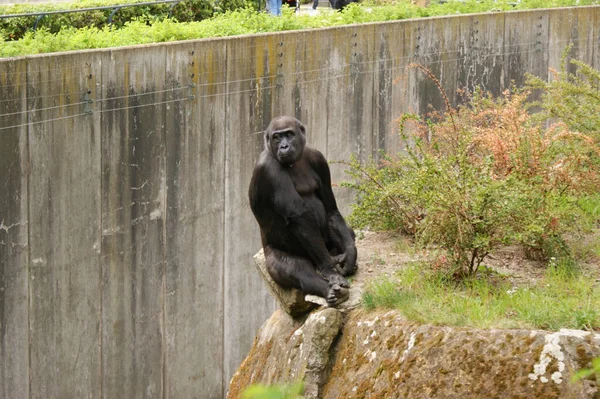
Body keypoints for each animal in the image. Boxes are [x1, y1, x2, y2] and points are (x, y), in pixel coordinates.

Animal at [248, 115, 356, 306]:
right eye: (277, 137)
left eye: (289, 134)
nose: (284, 146)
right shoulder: (269, 169)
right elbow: (298, 217)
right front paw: (330, 270)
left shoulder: (318, 158)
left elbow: (330, 210)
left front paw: (351, 253)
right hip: (274, 257)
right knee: (295, 269)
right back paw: (327, 287)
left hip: (328, 248)